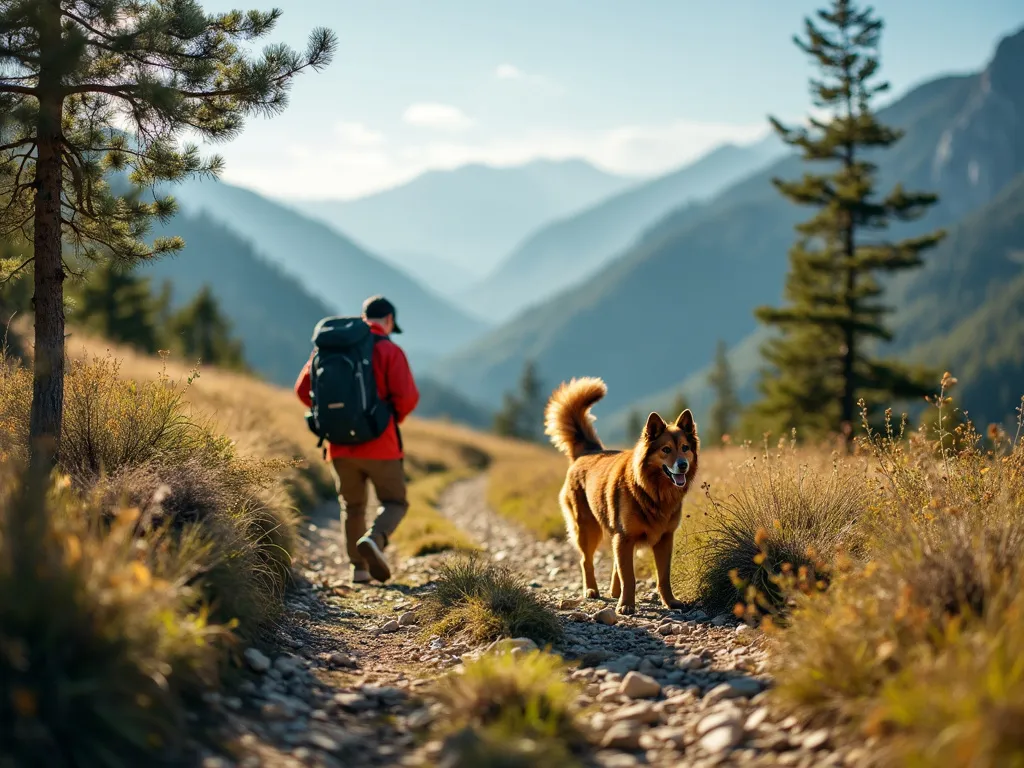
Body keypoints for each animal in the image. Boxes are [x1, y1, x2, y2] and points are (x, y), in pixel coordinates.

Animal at [544, 376, 696, 618]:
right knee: (586, 560)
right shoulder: (625, 537)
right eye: (665, 449)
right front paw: (626, 605)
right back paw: (592, 590)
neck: (652, 491)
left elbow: (663, 576)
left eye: (685, 447)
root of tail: (588, 451)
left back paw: (614, 592)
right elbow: (629, 577)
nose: (683, 465)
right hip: (588, 529)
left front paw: (670, 601)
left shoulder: (664, 539)